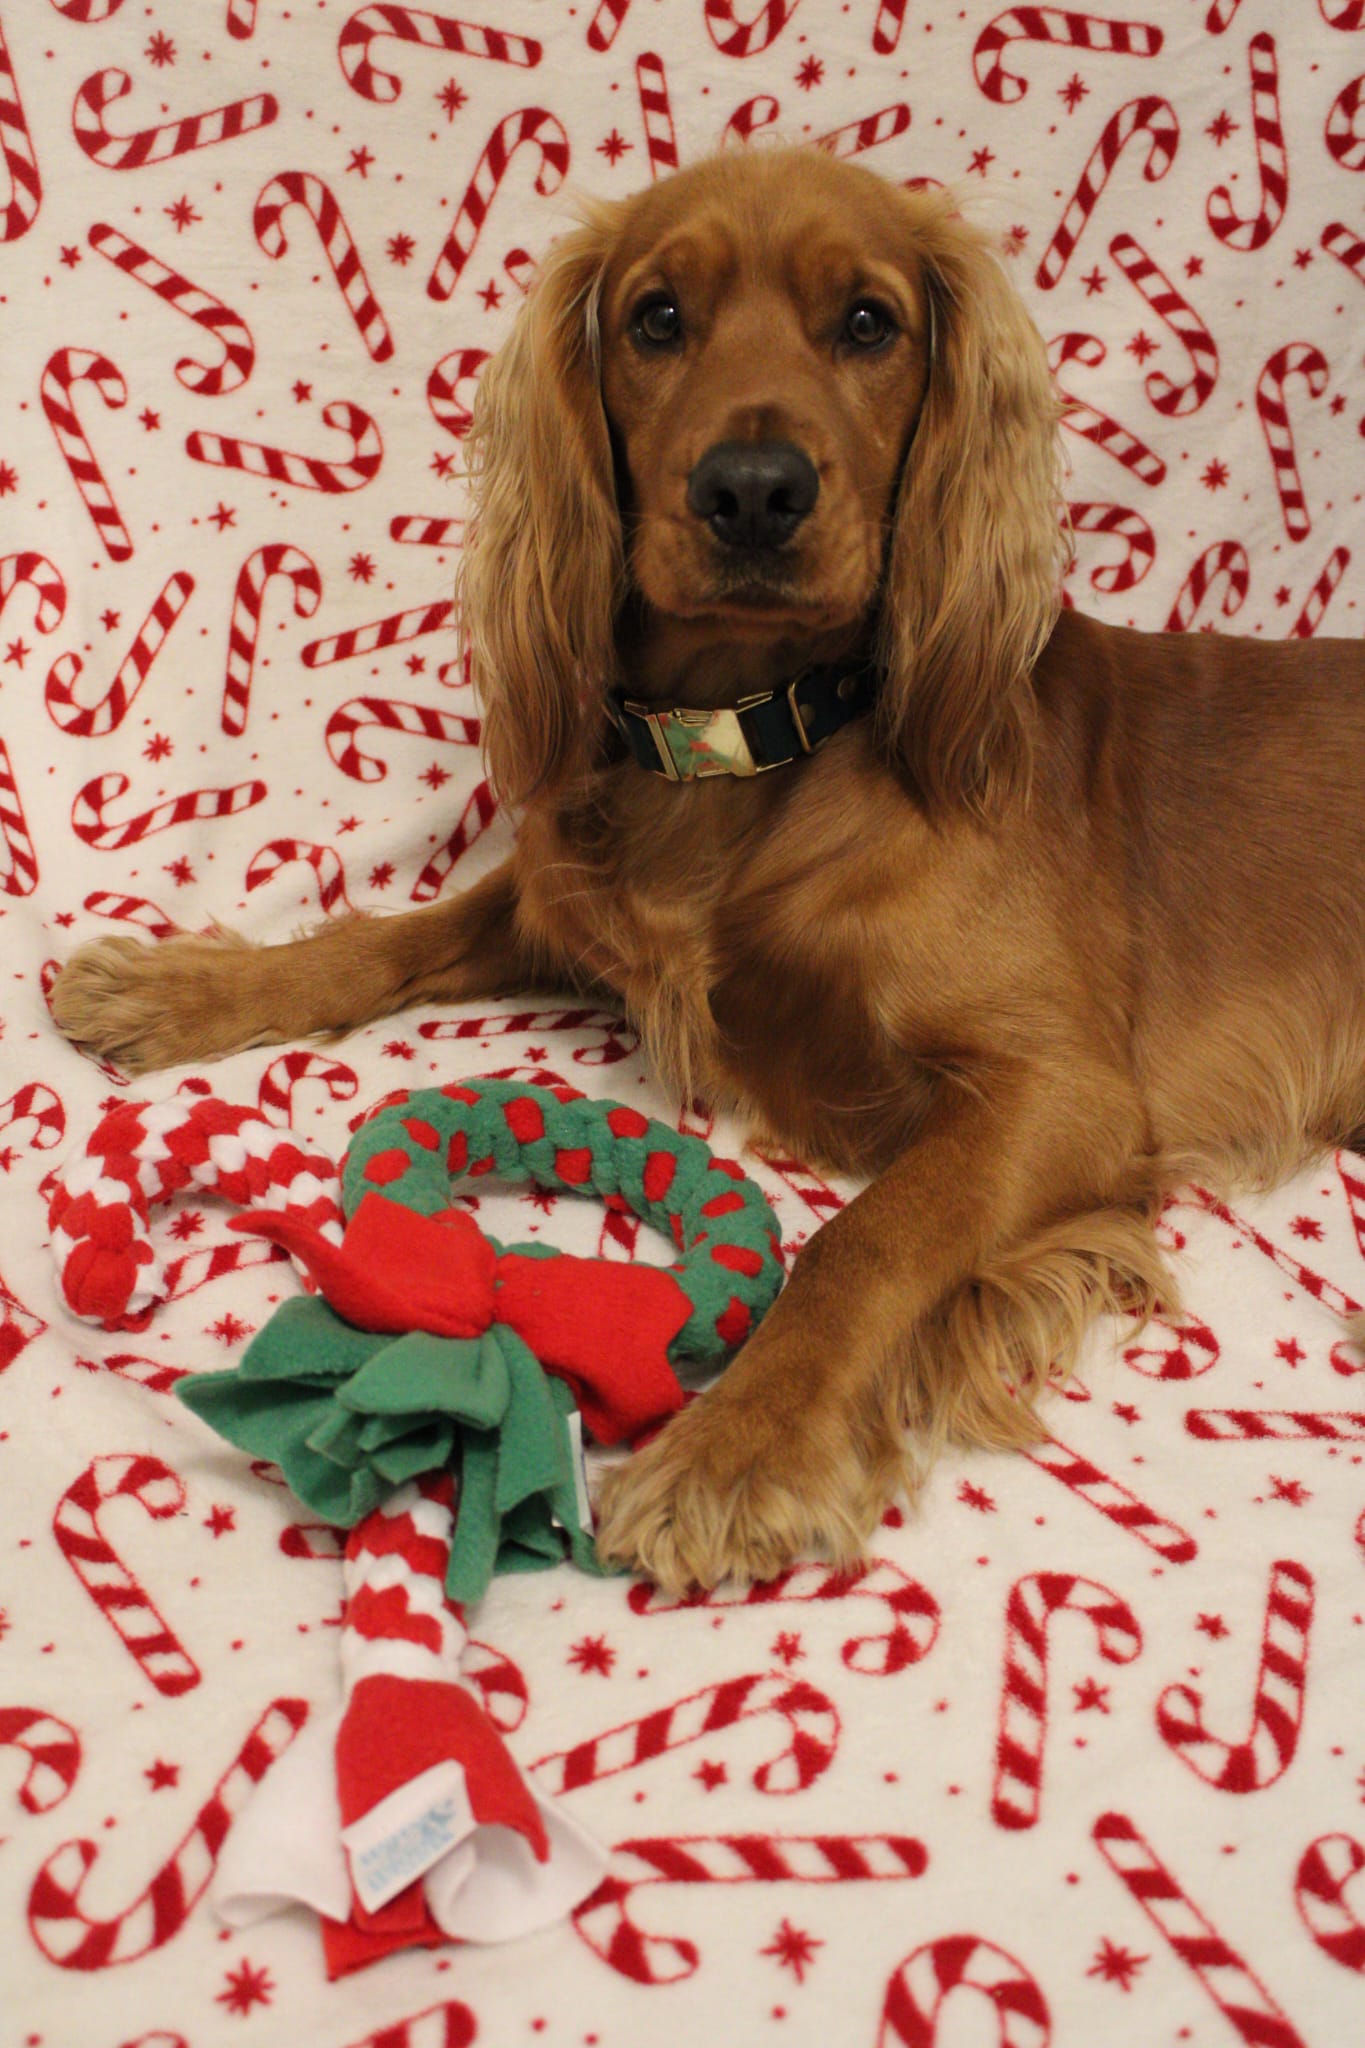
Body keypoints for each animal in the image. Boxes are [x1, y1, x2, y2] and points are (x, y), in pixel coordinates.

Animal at [50, 148, 1365, 1597]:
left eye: (869, 323)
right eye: (657, 319)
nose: (751, 490)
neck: (750, 742)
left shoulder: (1065, 1087)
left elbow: (866, 1236)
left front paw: (740, 1449)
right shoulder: (560, 903)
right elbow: (377, 938)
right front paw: (172, 987)